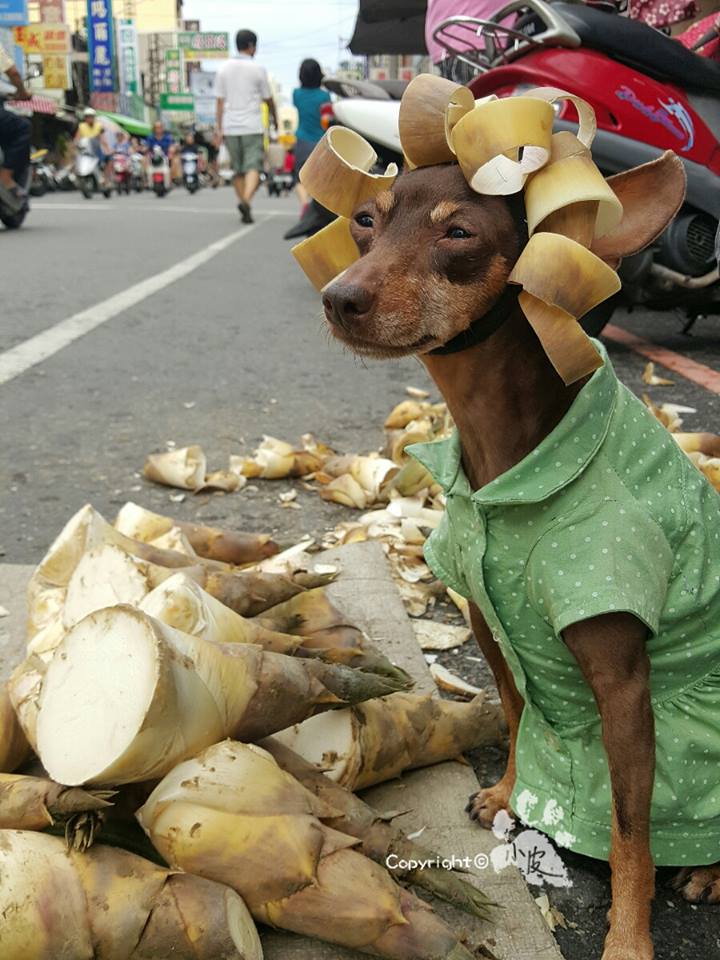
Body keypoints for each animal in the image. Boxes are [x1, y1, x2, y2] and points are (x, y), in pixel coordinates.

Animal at [322, 161, 720, 956]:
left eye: (458, 232)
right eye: (365, 220)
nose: (338, 297)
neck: (508, 441)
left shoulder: (623, 684)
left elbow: (631, 834)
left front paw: (628, 942)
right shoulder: (486, 623)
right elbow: (517, 713)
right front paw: (508, 794)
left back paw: (708, 870)